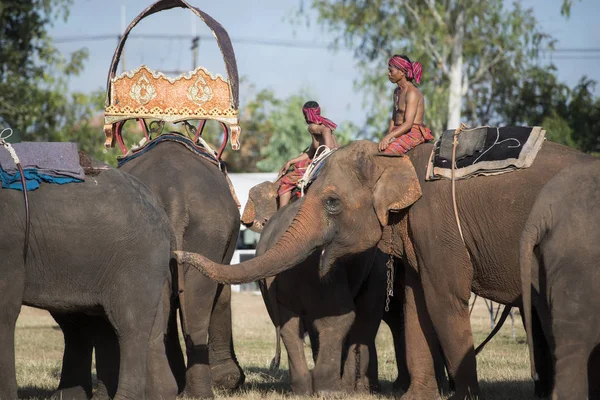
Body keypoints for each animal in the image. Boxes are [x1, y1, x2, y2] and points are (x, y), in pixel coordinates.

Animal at [176, 139, 592, 398]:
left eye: (331, 202)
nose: (177, 256)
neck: (394, 156)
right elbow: (417, 303)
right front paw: (417, 397)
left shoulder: (436, 223)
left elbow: (441, 300)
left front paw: (461, 397)